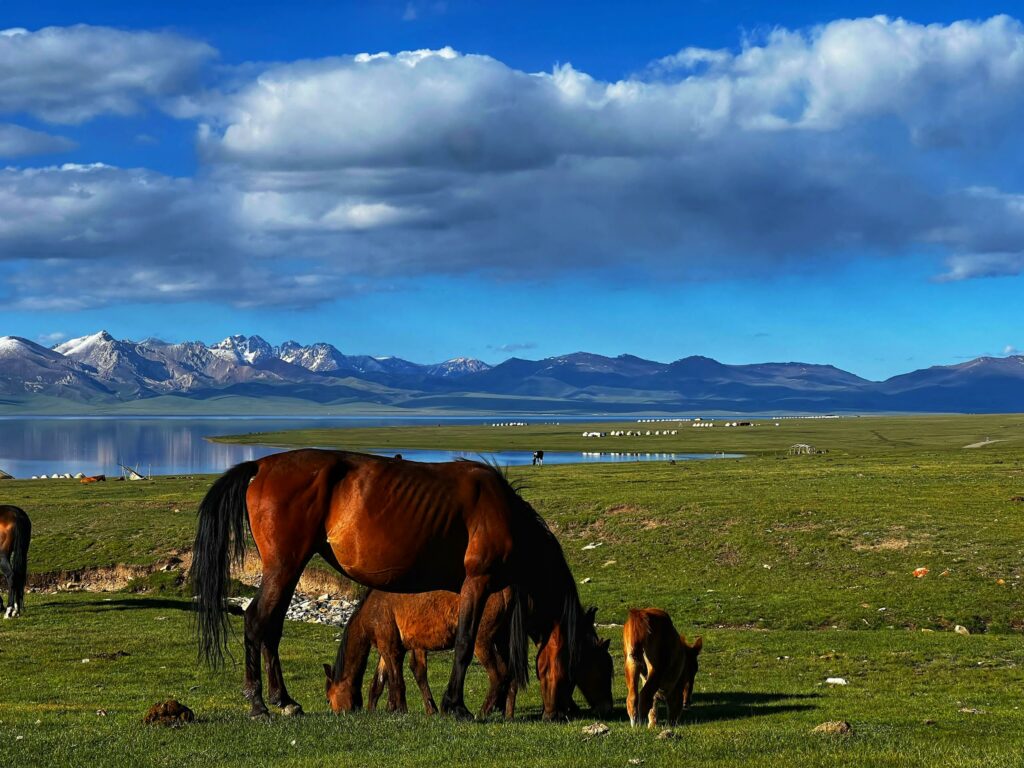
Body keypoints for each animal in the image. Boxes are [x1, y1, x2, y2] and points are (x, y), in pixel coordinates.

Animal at [325, 587, 516, 718]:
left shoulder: (391, 649)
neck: (373, 607)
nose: (336, 714)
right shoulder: (390, 648)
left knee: (499, 674)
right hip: (502, 641)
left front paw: (400, 710)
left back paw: (483, 713)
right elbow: (379, 683)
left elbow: (397, 682)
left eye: (328, 699)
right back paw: (507, 714)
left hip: (482, 642)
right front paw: (380, 709)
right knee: (511, 676)